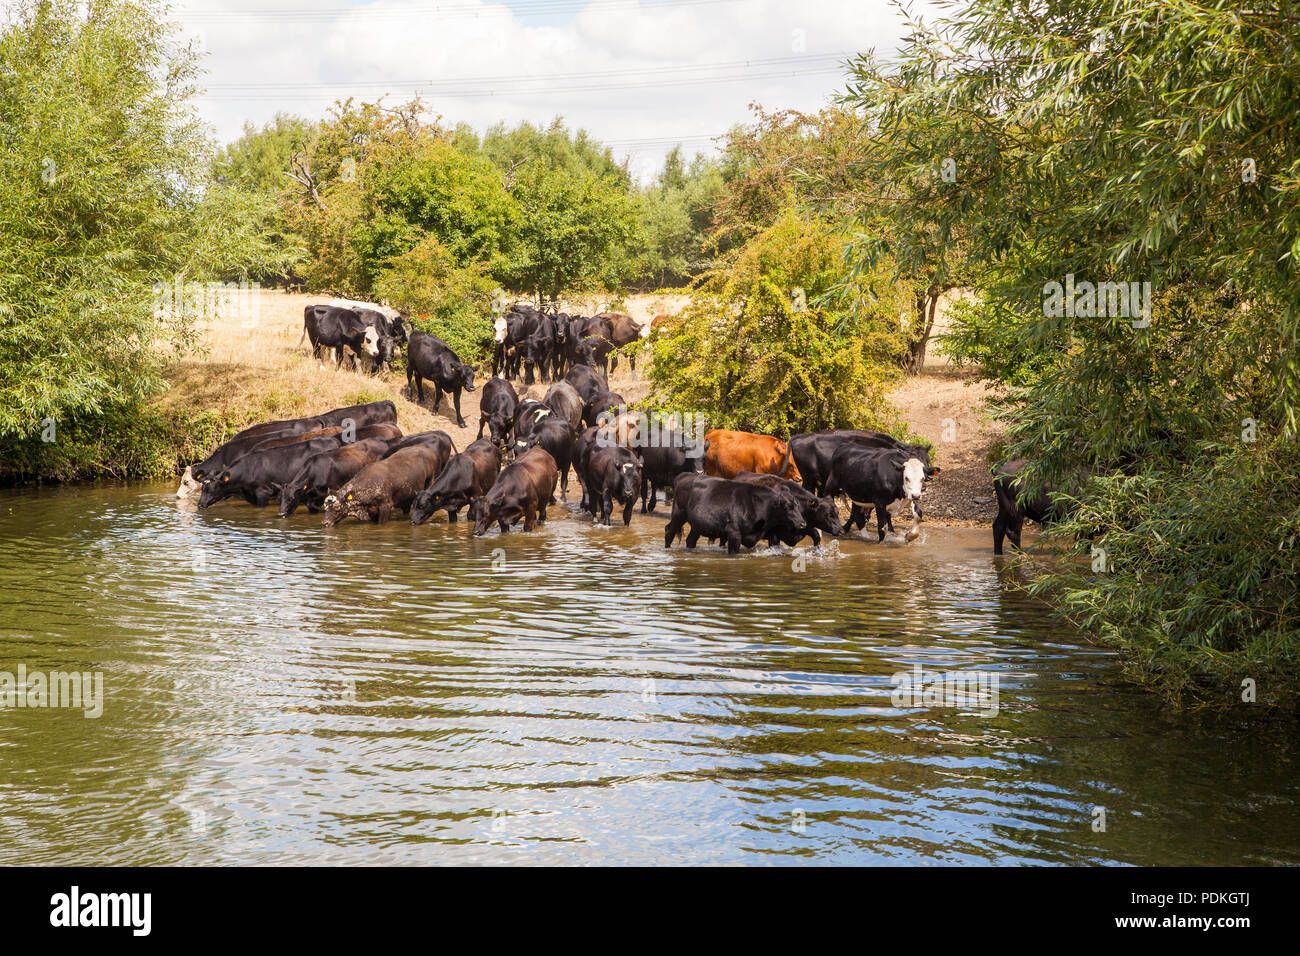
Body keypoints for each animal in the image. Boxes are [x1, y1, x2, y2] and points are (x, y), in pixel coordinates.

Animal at [665, 476, 806, 556]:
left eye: (797, 505)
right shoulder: (734, 533)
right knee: (669, 531)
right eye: (787, 507)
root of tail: (683, 479)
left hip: (697, 525)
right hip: (678, 514)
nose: (803, 523)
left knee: (690, 540)